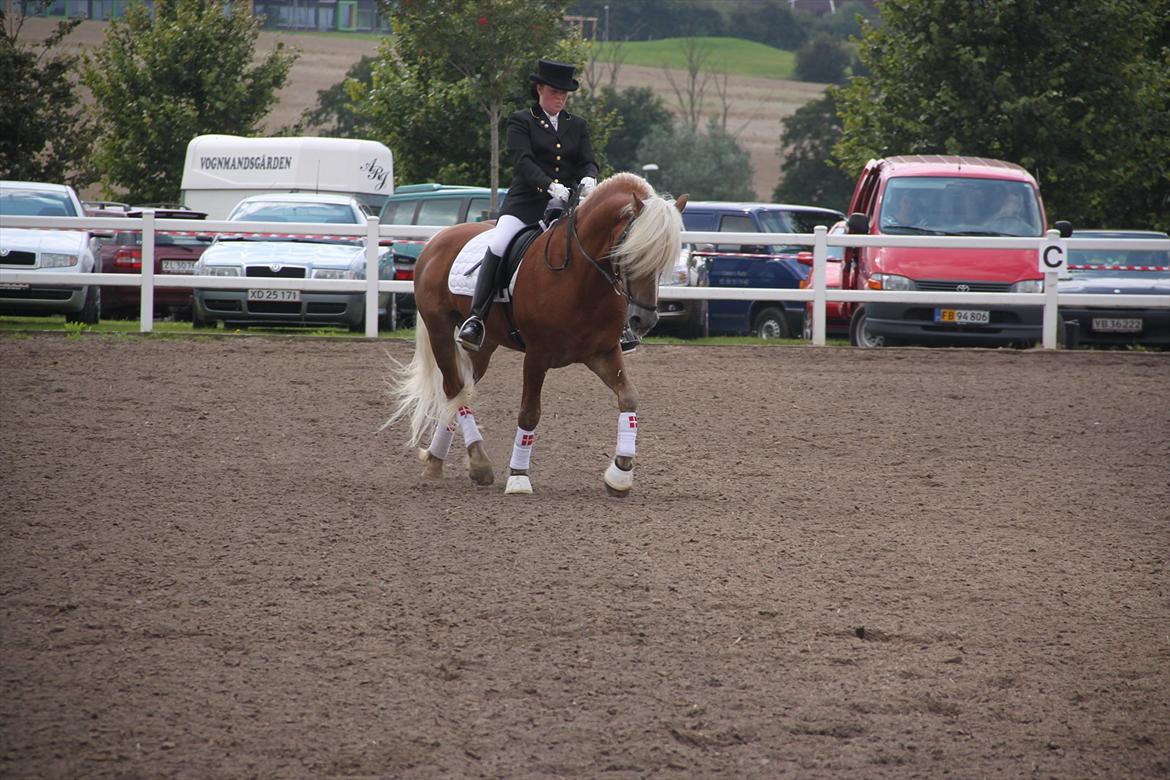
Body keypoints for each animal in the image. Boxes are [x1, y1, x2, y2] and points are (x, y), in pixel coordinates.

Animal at [383, 174, 683, 498]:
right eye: (632, 254)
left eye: (663, 261)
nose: (645, 320)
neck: (581, 278)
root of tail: (436, 240)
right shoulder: (537, 355)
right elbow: (529, 413)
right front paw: (518, 477)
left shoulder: (603, 352)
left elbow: (628, 399)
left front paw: (621, 474)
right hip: (439, 328)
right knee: (454, 388)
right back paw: (478, 460)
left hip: (482, 347)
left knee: (459, 389)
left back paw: (439, 460)